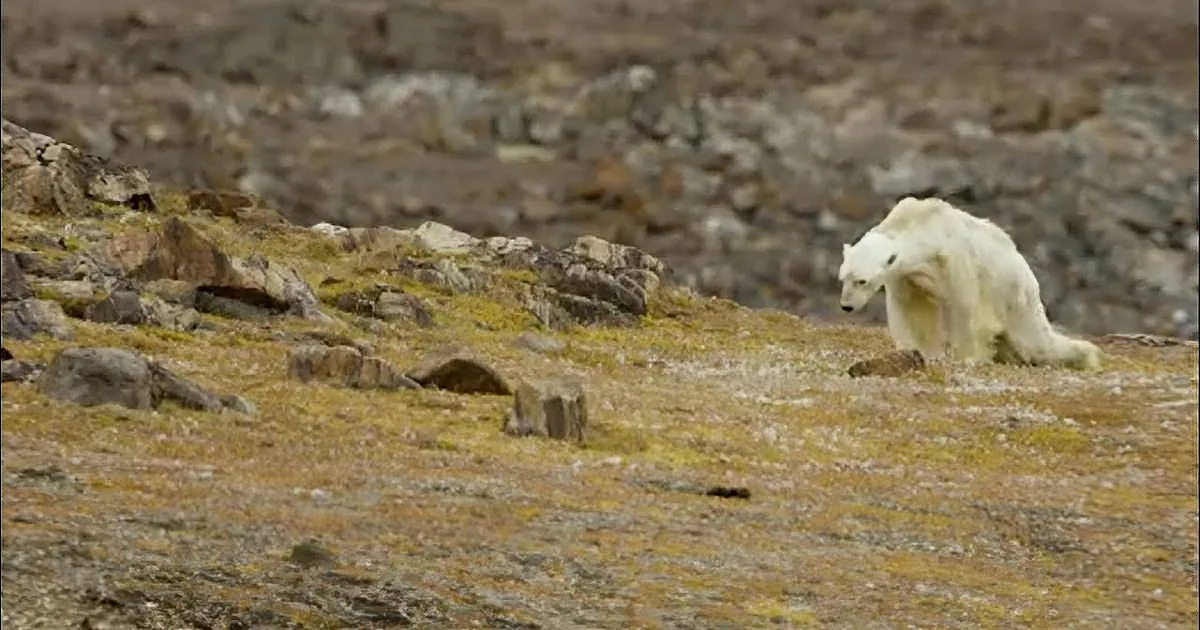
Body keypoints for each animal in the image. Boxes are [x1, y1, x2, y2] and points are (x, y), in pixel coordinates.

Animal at [836, 196, 1102, 370]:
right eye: (842, 278)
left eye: (862, 281)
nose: (846, 306)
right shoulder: (907, 276)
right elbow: (912, 310)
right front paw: (921, 353)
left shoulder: (955, 261)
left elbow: (963, 306)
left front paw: (967, 358)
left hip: (1014, 296)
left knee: (1036, 342)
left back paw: (1085, 356)